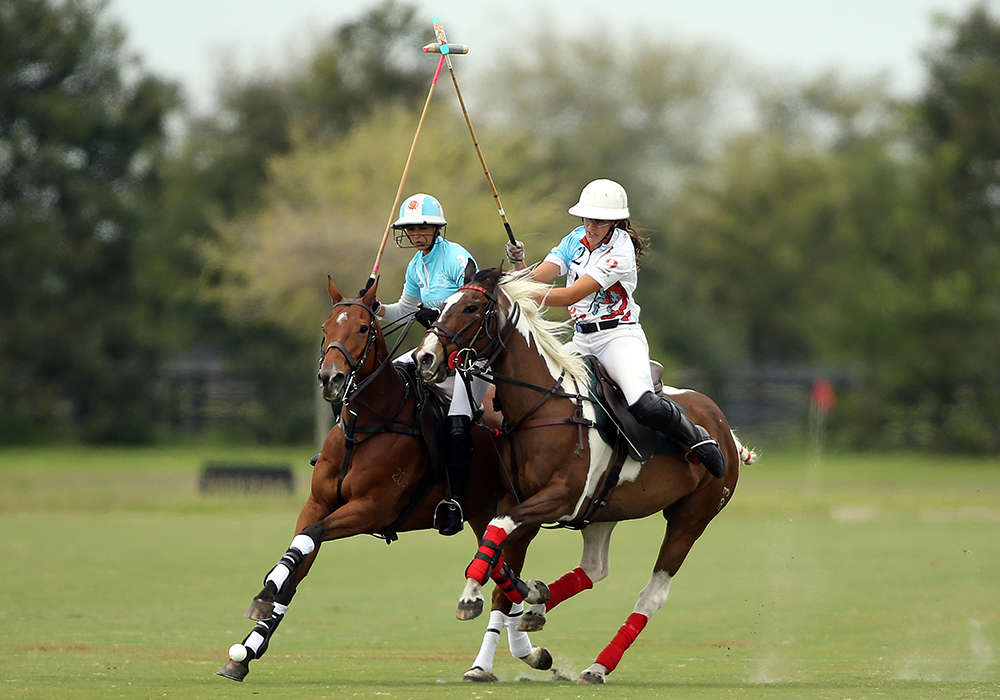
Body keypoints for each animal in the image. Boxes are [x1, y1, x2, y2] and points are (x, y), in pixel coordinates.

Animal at [214, 278, 552, 684]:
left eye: (363, 328)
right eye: (325, 327)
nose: (331, 379)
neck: (366, 426)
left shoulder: (372, 508)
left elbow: (310, 536)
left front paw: (261, 604)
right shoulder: (317, 504)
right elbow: (298, 559)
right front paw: (247, 646)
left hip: (518, 512)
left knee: (505, 579)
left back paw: (498, 655)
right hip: (481, 511)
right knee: (501, 567)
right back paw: (530, 644)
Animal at [410, 268, 752, 684]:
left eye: (472, 307)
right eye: (442, 305)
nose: (425, 358)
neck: (541, 407)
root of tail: (722, 426)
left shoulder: (560, 497)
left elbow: (497, 531)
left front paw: (472, 595)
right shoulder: (520, 498)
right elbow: (498, 547)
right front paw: (521, 595)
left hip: (692, 516)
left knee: (652, 594)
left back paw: (598, 665)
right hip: (605, 509)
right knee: (594, 569)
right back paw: (538, 609)